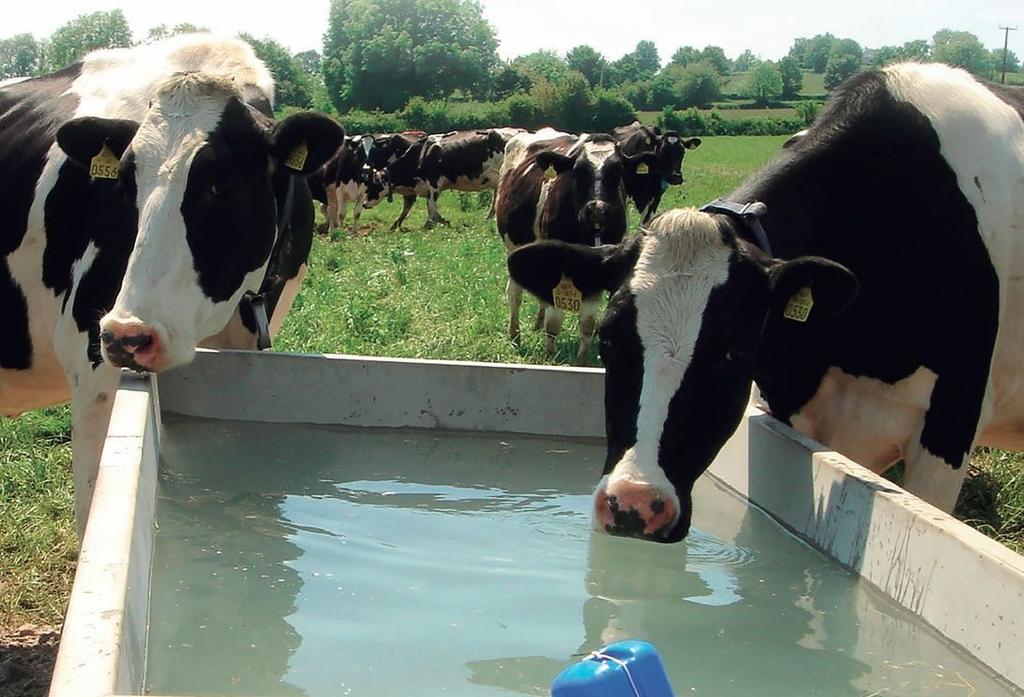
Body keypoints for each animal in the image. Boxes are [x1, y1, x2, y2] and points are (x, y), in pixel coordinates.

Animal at [497, 128, 663, 364]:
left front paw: (582, 361)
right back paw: (515, 334)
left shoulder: (597, 269)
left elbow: (587, 324)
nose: (597, 210)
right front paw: (549, 356)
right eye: (578, 170)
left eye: (618, 171)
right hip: (514, 249)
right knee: (515, 295)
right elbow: (554, 323)